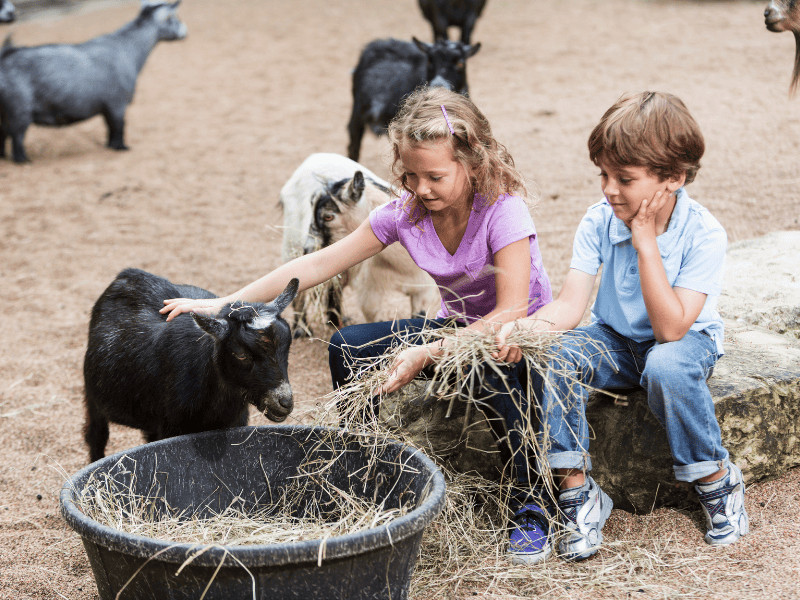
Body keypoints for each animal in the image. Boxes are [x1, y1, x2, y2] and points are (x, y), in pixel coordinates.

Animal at [0, 0, 186, 162]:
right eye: (174, 18)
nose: (185, 32)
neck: (128, 48)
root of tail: (5, 57)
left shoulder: (107, 107)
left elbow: (110, 128)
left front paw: (110, 146)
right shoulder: (117, 104)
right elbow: (119, 127)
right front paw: (121, 148)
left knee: (3, 135)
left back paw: (3, 156)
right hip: (20, 110)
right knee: (17, 137)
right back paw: (23, 160)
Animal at [83, 268, 298, 464]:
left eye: (287, 346)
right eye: (241, 354)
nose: (284, 402)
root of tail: (126, 275)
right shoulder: (171, 426)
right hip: (93, 398)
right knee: (96, 436)